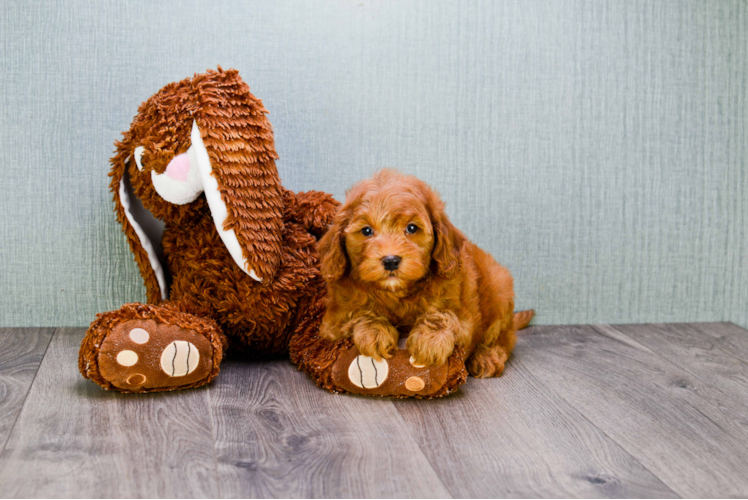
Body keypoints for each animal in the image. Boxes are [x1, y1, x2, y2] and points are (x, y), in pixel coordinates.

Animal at [316, 170, 532, 376]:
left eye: (412, 228)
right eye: (367, 231)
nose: (391, 260)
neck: (397, 294)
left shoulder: (464, 318)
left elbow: (444, 314)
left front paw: (431, 339)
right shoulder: (331, 323)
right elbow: (358, 313)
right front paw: (374, 331)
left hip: (500, 289)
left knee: (503, 337)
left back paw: (487, 357)